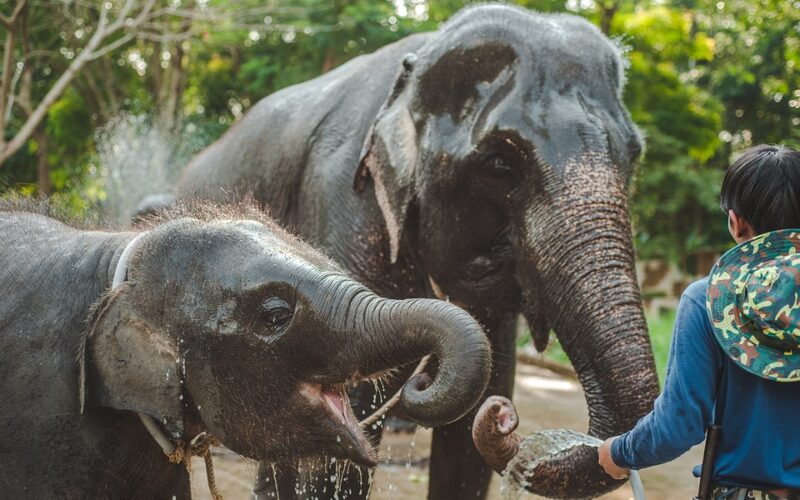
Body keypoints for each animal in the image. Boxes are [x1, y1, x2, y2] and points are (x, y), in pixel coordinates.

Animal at [178, 3, 660, 500]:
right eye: (500, 164)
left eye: (633, 156)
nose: (505, 418)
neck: (418, 60)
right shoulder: (343, 200)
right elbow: (339, 433)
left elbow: (470, 433)